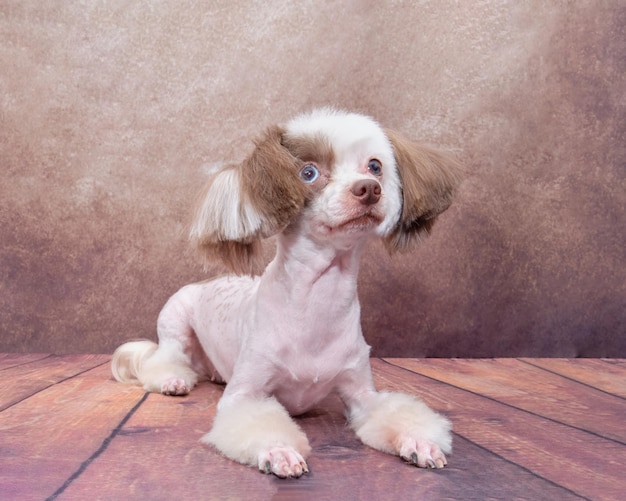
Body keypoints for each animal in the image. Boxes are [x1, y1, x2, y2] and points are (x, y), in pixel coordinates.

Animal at [112, 108, 458, 476]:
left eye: (375, 166)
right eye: (308, 173)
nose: (369, 189)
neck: (317, 303)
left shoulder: (362, 393)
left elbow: (395, 410)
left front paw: (419, 441)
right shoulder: (244, 395)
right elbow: (258, 420)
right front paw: (279, 450)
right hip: (175, 324)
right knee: (166, 358)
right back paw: (172, 380)